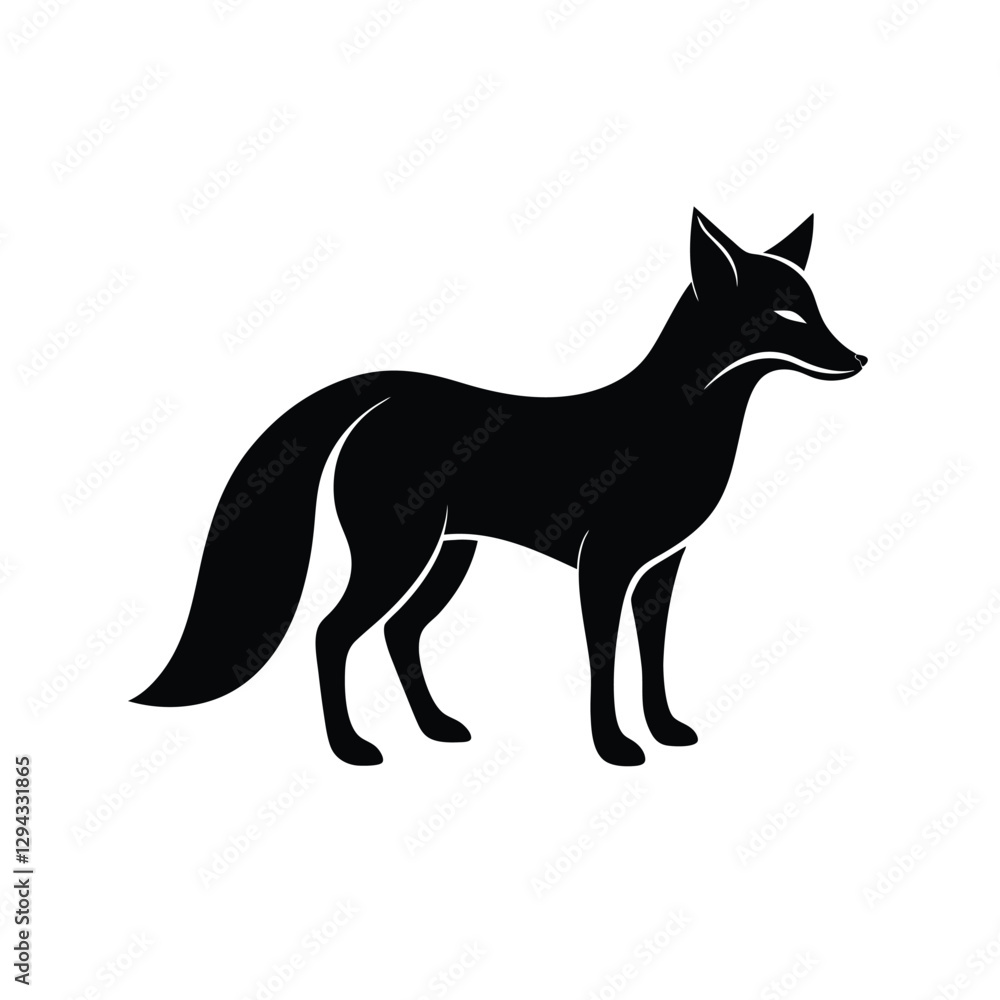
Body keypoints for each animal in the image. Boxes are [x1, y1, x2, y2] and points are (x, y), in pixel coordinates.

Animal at [132, 209, 866, 766]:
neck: (675, 423)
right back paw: (351, 748)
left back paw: (436, 728)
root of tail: (389, 395)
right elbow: (604, 660)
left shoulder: (660, 567)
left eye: (817, 308)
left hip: (448, 556)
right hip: (399, 555)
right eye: (788, 318)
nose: (858, 357)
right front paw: (614, 747)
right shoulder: (603, 566)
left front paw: (666, 731)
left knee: (399, 633)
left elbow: (652, 656)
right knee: (331, 633)